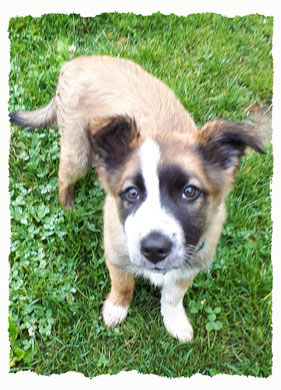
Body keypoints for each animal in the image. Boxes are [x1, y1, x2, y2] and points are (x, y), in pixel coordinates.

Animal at [9, 54, 262, 342]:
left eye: (189, 192)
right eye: (132, 193)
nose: (154, 249)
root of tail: (75, 62)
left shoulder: (192, 263)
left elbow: (173, 297)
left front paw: (175, 321)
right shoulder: (116, 254)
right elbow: (124, 285)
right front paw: (116, 308)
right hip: (78, 152)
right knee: (64, 177)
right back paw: (68, 205)